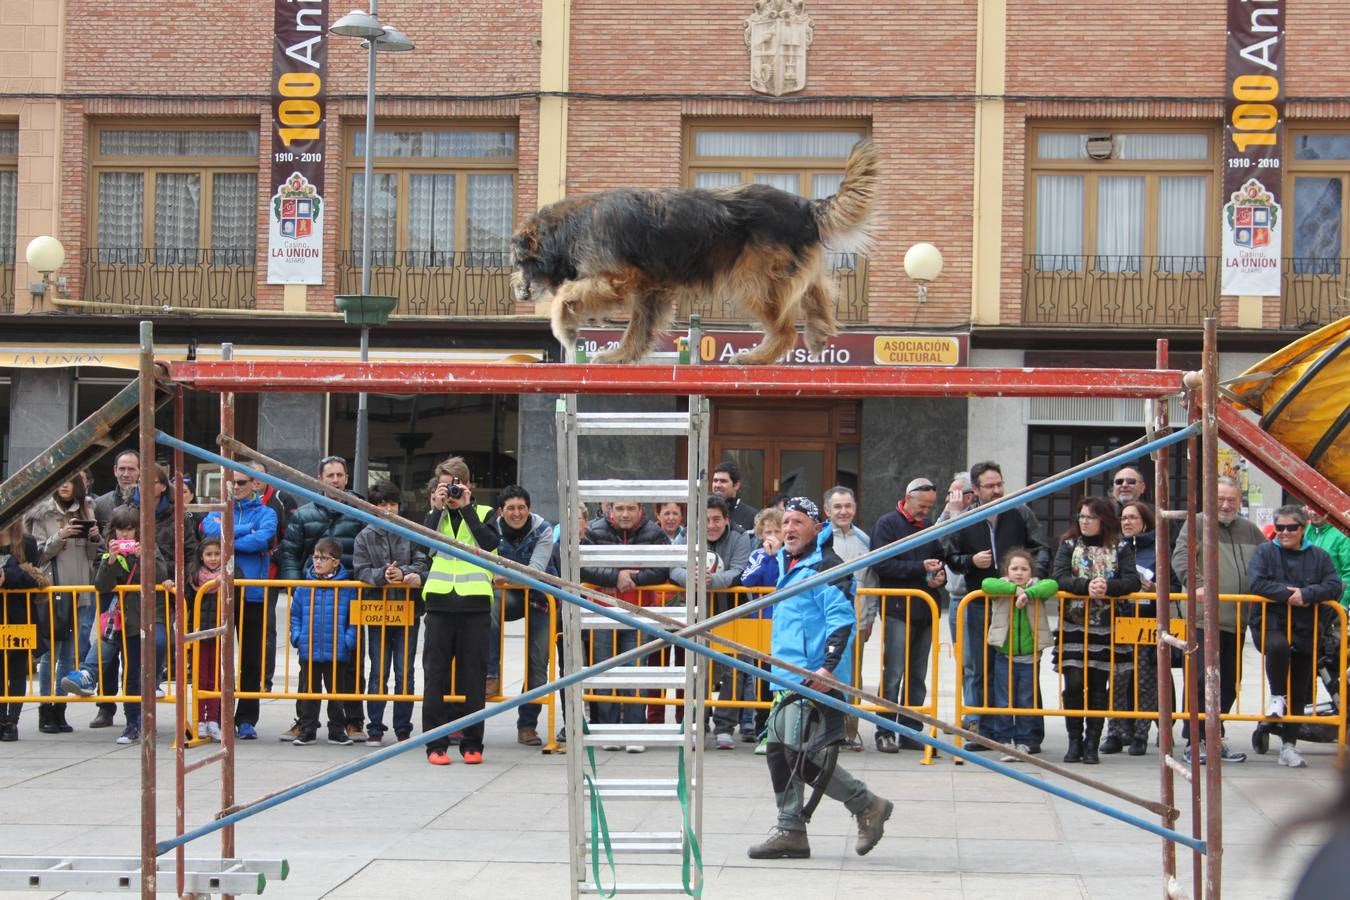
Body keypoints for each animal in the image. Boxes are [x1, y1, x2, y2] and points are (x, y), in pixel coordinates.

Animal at [510, 138, 880, 364]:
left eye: (519, 261)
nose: (517, 288)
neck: (570, 227)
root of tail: (805, 206)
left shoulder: (617, 279)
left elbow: (567, 295)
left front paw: (566, 328)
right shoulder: (651, 289)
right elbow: (638, 329)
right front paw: (621, 356)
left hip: (755, 280)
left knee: (785, 329)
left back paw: (755, 357)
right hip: (787, 272)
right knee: (820, 294)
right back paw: (819, 333)